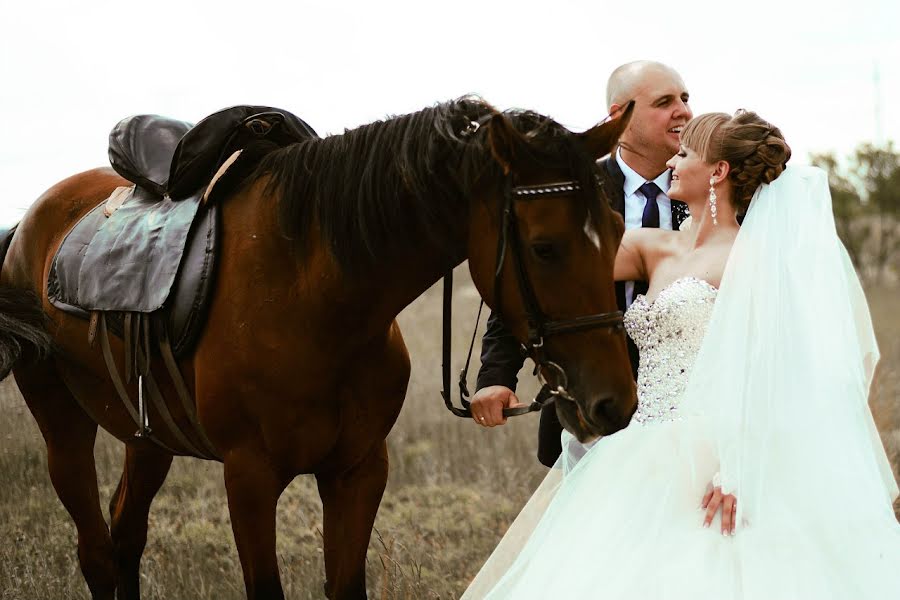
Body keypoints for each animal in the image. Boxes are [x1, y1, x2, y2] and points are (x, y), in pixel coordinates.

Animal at [0, 96, 636, 596]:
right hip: (62, 423)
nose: (615, 402)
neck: (315, 300)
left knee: (126, 533)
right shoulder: (249, 478)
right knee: (97, 551)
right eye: (544, 246)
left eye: (617, 232)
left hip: (147, 435)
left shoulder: (358, 470)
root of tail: (32, 220)